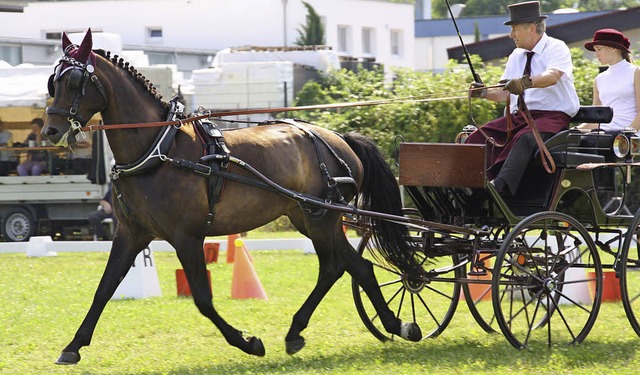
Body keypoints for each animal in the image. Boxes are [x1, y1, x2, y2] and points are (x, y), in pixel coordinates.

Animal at [45, 30, 424, 368]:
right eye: (52, 81)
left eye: (75, 81)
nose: (51, 131)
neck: (157, 149)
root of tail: (339, 137)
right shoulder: (131, 234)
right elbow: (104, 288)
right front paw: (72, 347)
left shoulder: (187, 237)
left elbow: (202, 298)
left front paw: (248, 342)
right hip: (309, 217)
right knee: (354, 266)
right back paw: (387, 325)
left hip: (323, 218)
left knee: (335, 266)